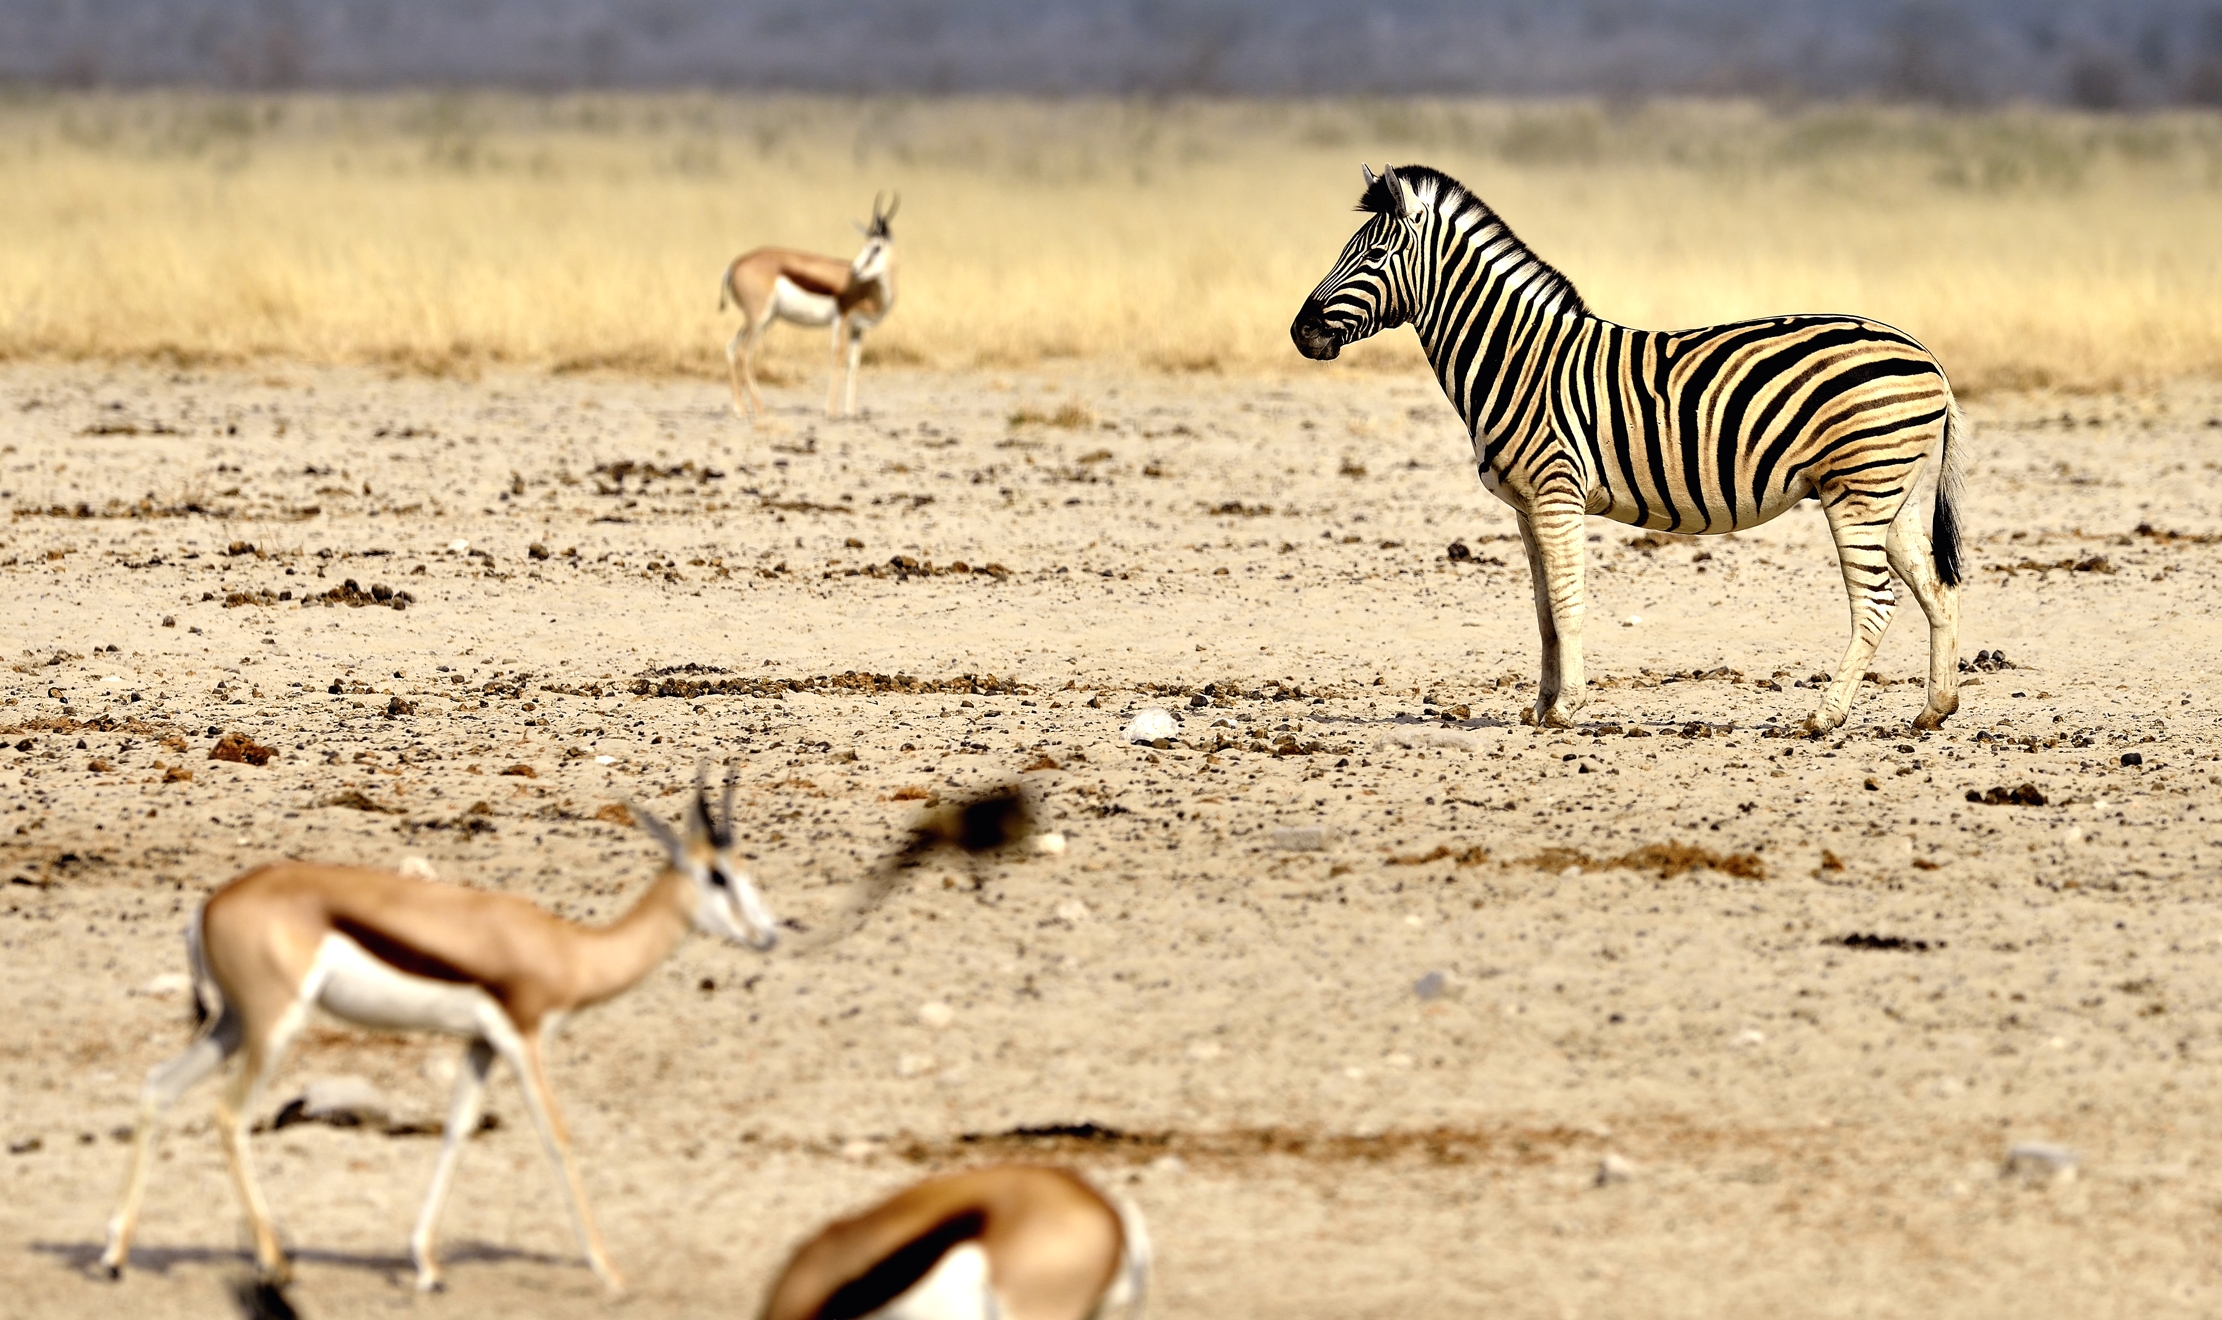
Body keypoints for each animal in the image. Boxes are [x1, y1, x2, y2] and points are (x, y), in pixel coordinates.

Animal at [1290, 164, 1964, 733]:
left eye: (1375, 253)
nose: (1301, 333)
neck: (1517, 359)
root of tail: (1926, 354)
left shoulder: (1556, 493)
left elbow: (1568, 602)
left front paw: (1567, 707)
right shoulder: (1526, 507)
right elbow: (1543, 611)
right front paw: (1541, 706)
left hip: (1858, 490)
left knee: (1875, 603)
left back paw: (1825, 716)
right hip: (1891, 496)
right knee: (1937, 587)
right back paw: (1936, 708)